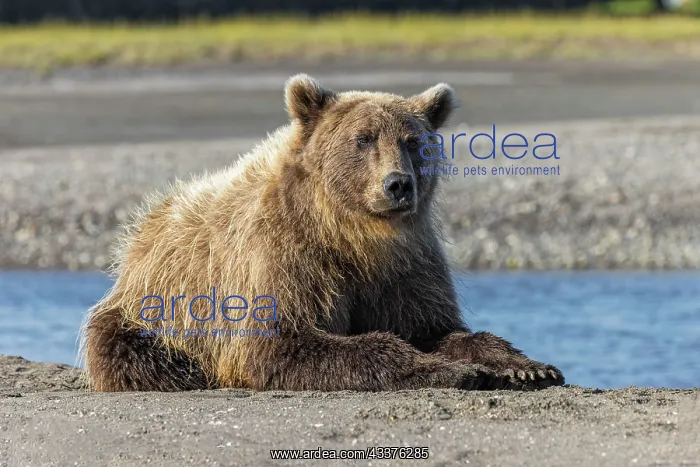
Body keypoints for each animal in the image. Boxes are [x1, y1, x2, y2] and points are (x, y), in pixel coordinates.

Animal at [79, 74, 565, 392]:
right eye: (363, 138)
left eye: (413, 141)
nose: (398, 184)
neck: (354, 234)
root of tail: (148, 223)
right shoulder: (285, 257)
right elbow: (282, 343)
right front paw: (452, 370)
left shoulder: (405, 266)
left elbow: (436, 326)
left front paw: (525, 366)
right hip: (151, 309)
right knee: (133, 351)